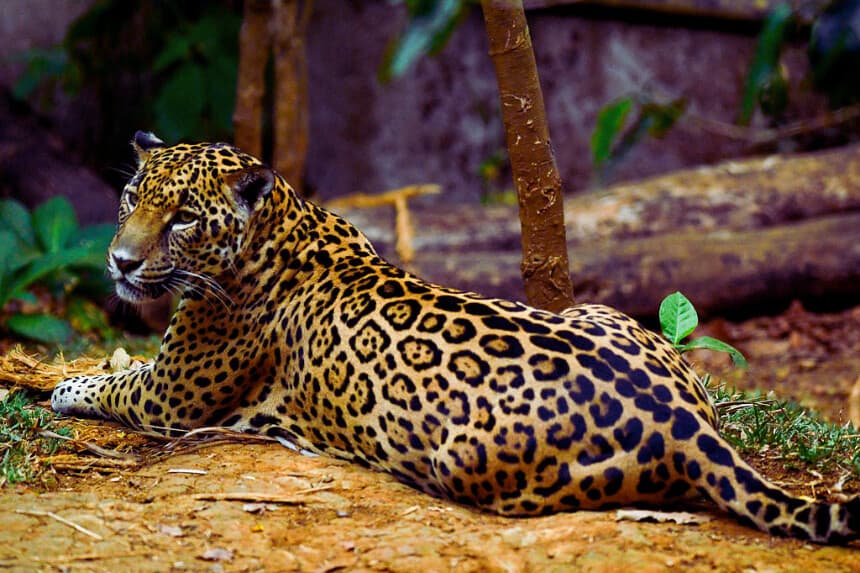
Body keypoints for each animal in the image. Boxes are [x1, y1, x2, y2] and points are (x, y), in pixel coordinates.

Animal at [52, 131, 859, 544]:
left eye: (184, 217)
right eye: (131, 196)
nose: (120, 261)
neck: (285, 220)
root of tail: (686, 424)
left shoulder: (170, 394)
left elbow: (111, 383)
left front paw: (65, 384)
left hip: (461, 460)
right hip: (609, 314)